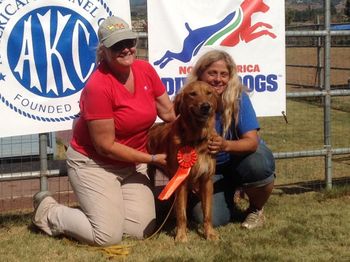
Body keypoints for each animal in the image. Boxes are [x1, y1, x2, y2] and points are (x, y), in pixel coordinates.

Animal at [148, 80, 219, 242]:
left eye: (209, 93)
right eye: (192, 94)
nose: (206, 106)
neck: (196, 139)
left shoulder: (206, 180)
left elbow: (208, 213)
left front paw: (209, 233)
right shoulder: (181, 182)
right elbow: (182, 213)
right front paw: (181, 236)